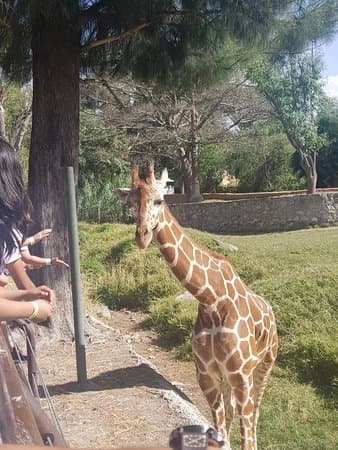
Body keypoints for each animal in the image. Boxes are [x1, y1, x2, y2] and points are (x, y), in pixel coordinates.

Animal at [116, 164, 278, 450]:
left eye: (159, 200)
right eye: (131, 203)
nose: (142, 236)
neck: (212, 300)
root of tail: (270, 310)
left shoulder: (241, 376)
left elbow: (245, 434)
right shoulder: (206, 375)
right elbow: (220, 433)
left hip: (264, 365)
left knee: (256, 412)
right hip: (228, 378)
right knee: (233, 412)